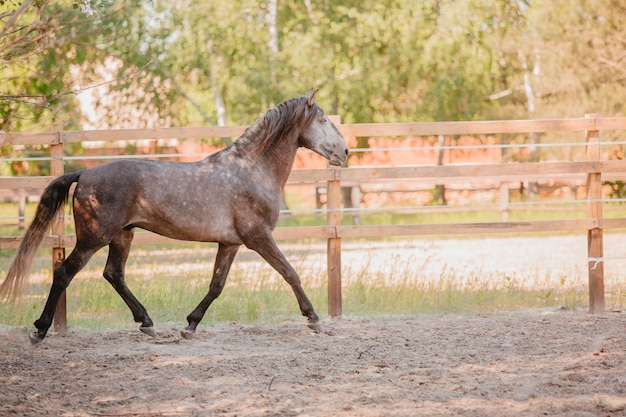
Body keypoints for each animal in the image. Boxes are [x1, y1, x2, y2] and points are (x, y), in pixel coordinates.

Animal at [0, 89, 346, 342]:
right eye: (323, 119)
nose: (344, 152)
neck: (251, 170)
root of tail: (84, 174)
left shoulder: (230, 243)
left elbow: (216, 285)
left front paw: (190, 325)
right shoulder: (258, 237)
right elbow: (290, 273)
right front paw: (314, 319)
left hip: (123, 234)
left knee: (114, 274)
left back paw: (147, 322)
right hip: (93, 237)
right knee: (65, 273)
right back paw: (40, 329)